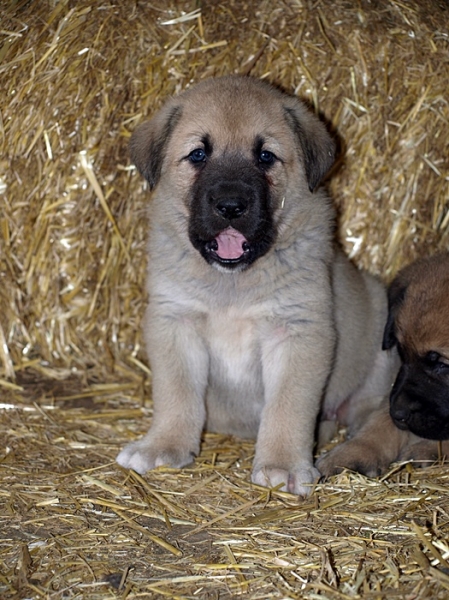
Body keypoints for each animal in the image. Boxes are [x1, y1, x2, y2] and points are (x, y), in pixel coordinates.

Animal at [115, 76, 396, 496]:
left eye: (265, 156)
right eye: (198, 154)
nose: (231, 205)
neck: (232, 282)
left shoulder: (297, 331)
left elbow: (288, 405)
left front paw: (282, 464)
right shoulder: (175, 321)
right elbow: (176, 394)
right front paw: (163, 445)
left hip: (379, 330)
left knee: (370, 405)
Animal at [316, 251, 448, 476]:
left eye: (442, 365)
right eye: (401, 353)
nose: (398, 414)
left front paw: (427, 449)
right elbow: (379, 421)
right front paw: (354, 454)